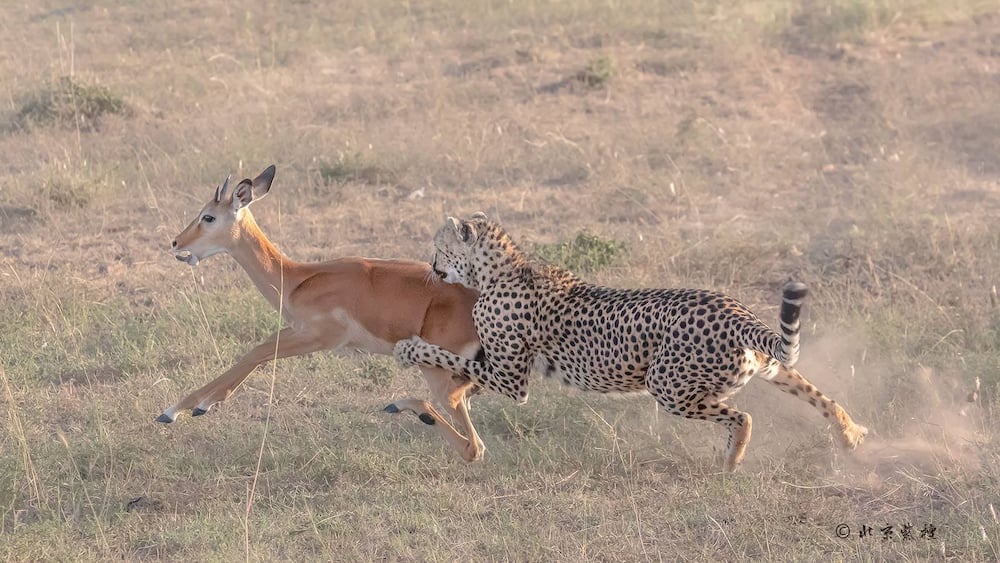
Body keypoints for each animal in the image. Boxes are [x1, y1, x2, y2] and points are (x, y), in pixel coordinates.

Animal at [396, 213, 868, 472]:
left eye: (439, 246)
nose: (432, 266)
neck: (503, 269)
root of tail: (735, 310)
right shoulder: (503, 371)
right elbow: (462, 378)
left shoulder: (513, 380)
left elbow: (447, 357)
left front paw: (409, 350)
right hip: (766, 366)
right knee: (820, 396)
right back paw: (849, 433)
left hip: (668, 386)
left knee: (743, 417)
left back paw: (732, 460)